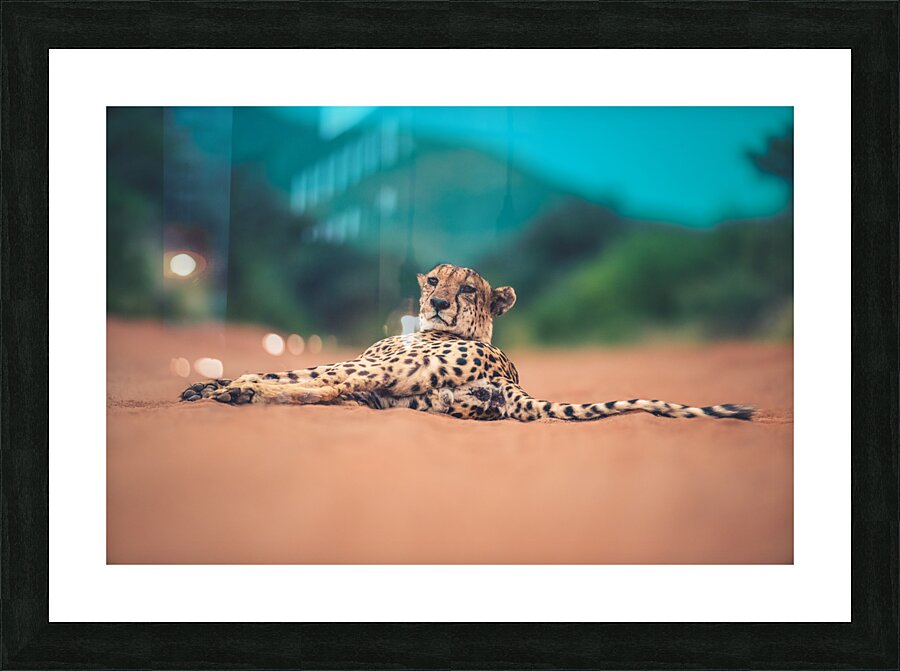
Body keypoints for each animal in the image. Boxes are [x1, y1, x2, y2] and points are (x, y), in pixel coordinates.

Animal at [181, 263, 754, 422]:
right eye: (435, 280)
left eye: (468, 289)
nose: (438, 303)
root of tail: (509, 380)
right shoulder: (378, 391)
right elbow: (307, 379)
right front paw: (209, 384)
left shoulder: (369, 368)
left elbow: (294, 371)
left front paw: (225, 384)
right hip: (409, 398)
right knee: (325, 389)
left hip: (377, 376)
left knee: (312, 382)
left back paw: (240, 392)